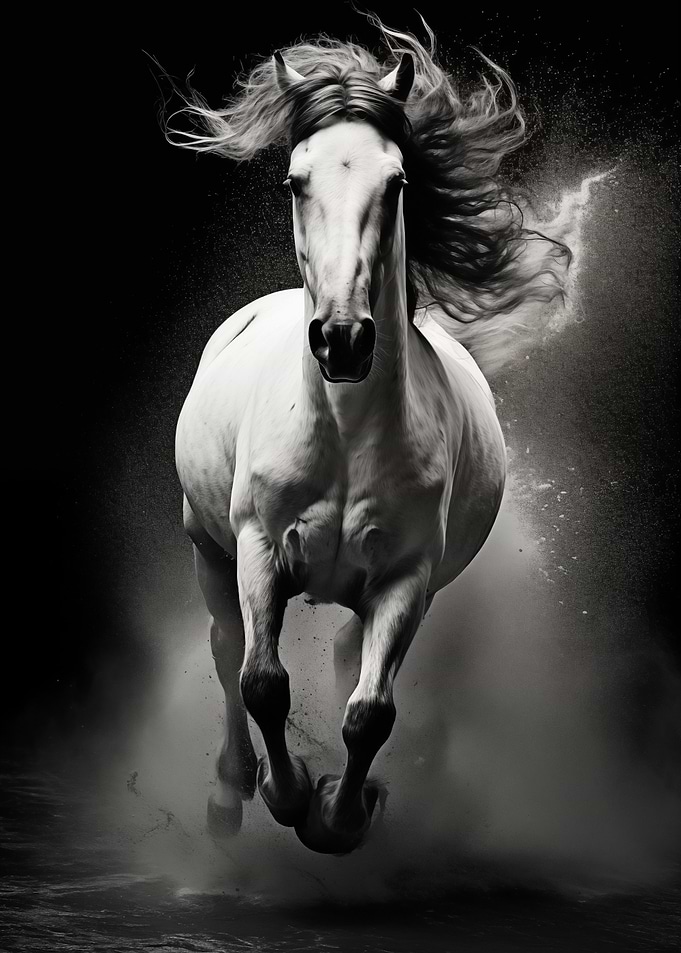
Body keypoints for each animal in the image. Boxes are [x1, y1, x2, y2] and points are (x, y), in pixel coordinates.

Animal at [170, 23, 569, 855]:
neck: (345, 434)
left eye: (396, 183)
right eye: (294, 181)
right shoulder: (258, 547)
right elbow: (262, 682)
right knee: (226, 651)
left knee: (348, 660)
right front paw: (284, 793)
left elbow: (369, 712)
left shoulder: (405, 579)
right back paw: (228, 792)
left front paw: (339, 814)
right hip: (207, 545)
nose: (343, 339)